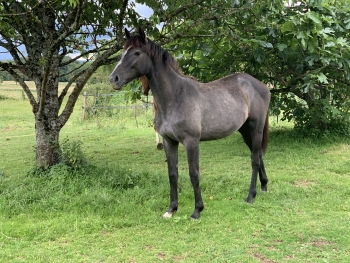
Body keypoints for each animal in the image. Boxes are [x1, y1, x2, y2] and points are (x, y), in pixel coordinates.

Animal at [109, 27, 270, 221]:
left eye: (137, 53)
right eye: (122, 52)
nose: (114, 79)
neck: (175, 96)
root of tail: (262, 85)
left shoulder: (191, 142)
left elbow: (194, 174)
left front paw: (197, 210)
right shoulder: (169, 141)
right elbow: (172, 174)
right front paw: (171, 209)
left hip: (256, 129)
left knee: (254, 159)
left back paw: (251, 196)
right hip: (245, 131)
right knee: (259, 155)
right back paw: (264, 186)